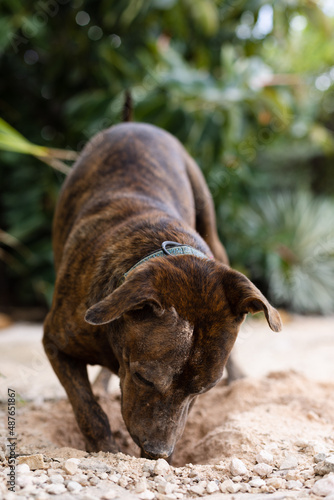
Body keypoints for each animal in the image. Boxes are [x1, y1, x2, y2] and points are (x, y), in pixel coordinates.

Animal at [43, 122, 280, 460]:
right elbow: (88, 408)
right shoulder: (55, 343)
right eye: (143, 377)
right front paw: (105, 448)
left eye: (203, 390)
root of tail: (133, 124)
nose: (158, 451)